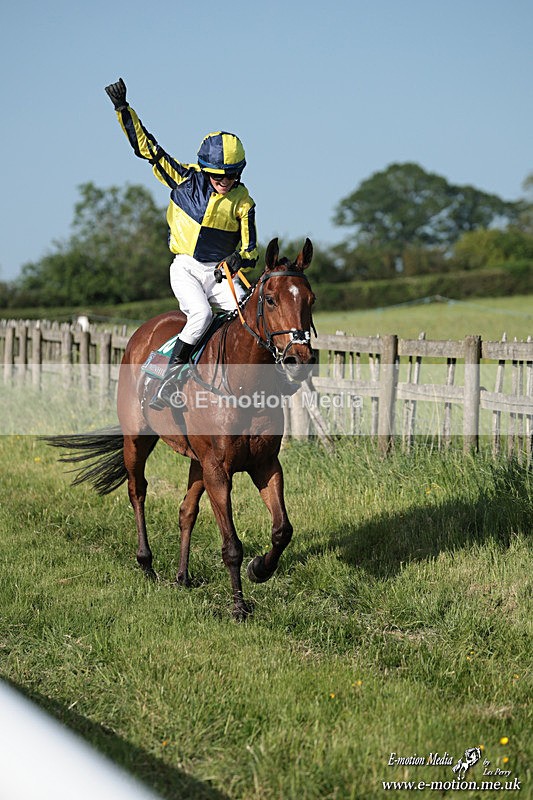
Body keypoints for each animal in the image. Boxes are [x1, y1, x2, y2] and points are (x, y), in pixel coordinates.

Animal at [46, 238, 316, 620]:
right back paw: (146, 562)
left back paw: (183, 575)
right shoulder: (218, 469)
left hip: (196, 460)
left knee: (186, 511)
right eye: (271, 299)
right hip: (137, 440)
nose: (299, 360)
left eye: (310, 299)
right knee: (137, 490)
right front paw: (239, 606)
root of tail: (144, 330)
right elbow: (231, 544)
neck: (241, 384)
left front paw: (260, 568)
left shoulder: (264, 463)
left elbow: (282, 530)